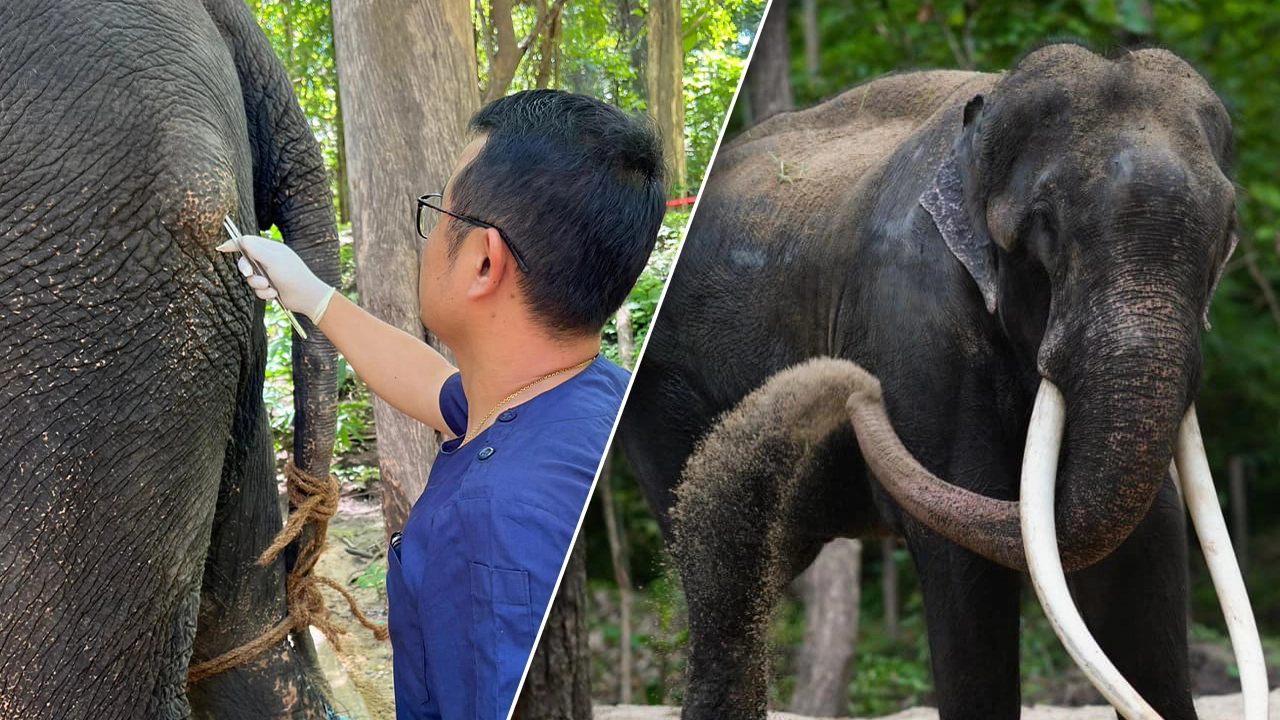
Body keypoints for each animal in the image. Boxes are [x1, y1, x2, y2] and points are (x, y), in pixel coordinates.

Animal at [614, 43, 1264, 717]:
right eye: (1045, 225)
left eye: (1226, 232)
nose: (855, 386)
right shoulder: (913, 318)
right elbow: (962, 555)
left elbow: (1147, 536)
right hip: (664, 388)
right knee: (719, 563)